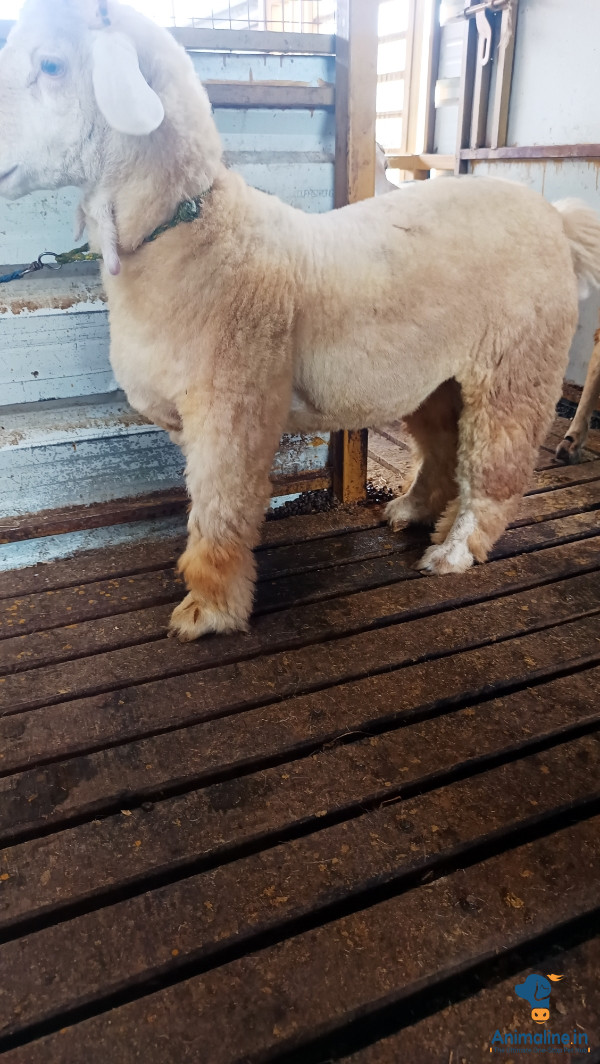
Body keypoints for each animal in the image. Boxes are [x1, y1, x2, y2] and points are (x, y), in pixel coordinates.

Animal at [2, 0, 600, 642]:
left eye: (52, 64)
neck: (192, 234)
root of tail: (556, 219)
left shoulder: (232, 406)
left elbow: (221, 510)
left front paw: (209, 609)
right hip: (440, 373)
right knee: (443, 448)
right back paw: (411, 511)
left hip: (518, 364)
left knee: (494, 470)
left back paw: (454, 550)